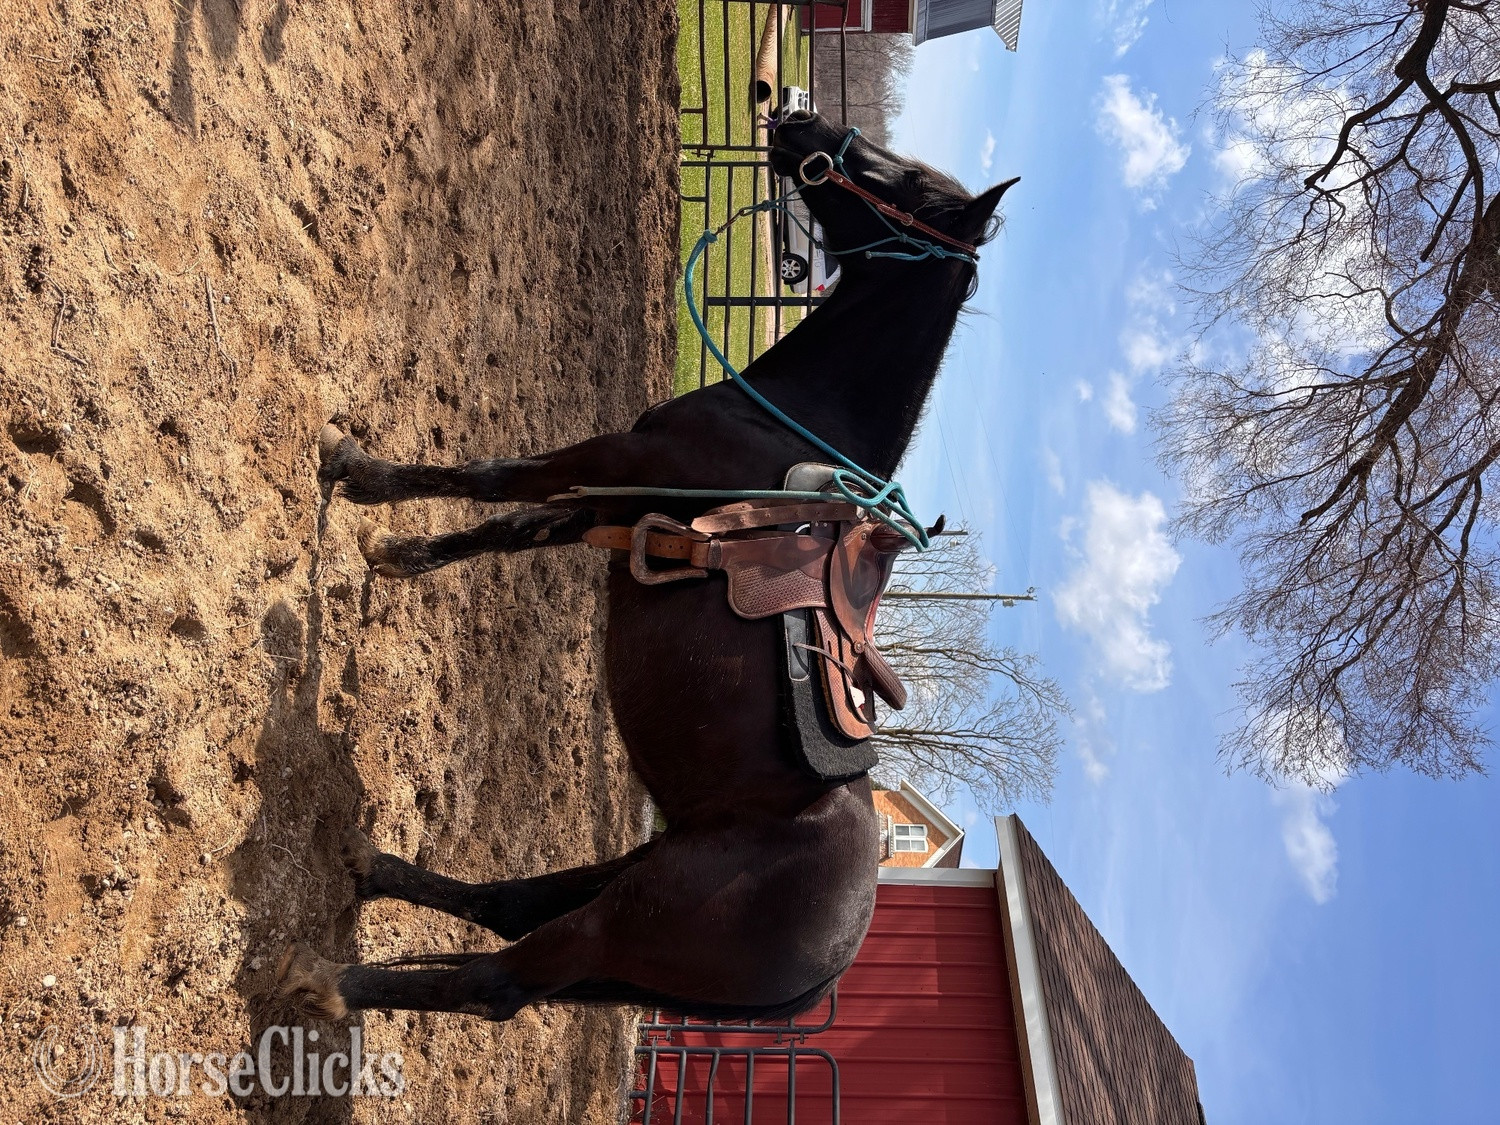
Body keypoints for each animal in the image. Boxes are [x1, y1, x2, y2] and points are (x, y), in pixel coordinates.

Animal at [275, 110, 1015, 1024]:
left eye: (909, 184)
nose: (796, 118)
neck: (787, 420)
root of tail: (829, 966)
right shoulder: (613, 505)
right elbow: (507, 526)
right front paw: (398, 552)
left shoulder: (612, 461)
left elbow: (495, 477)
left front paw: (359, 473)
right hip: (631, 873)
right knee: (509, 904)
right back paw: (368, 863)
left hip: (624, 921)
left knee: (494, 981)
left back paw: (327, 979)